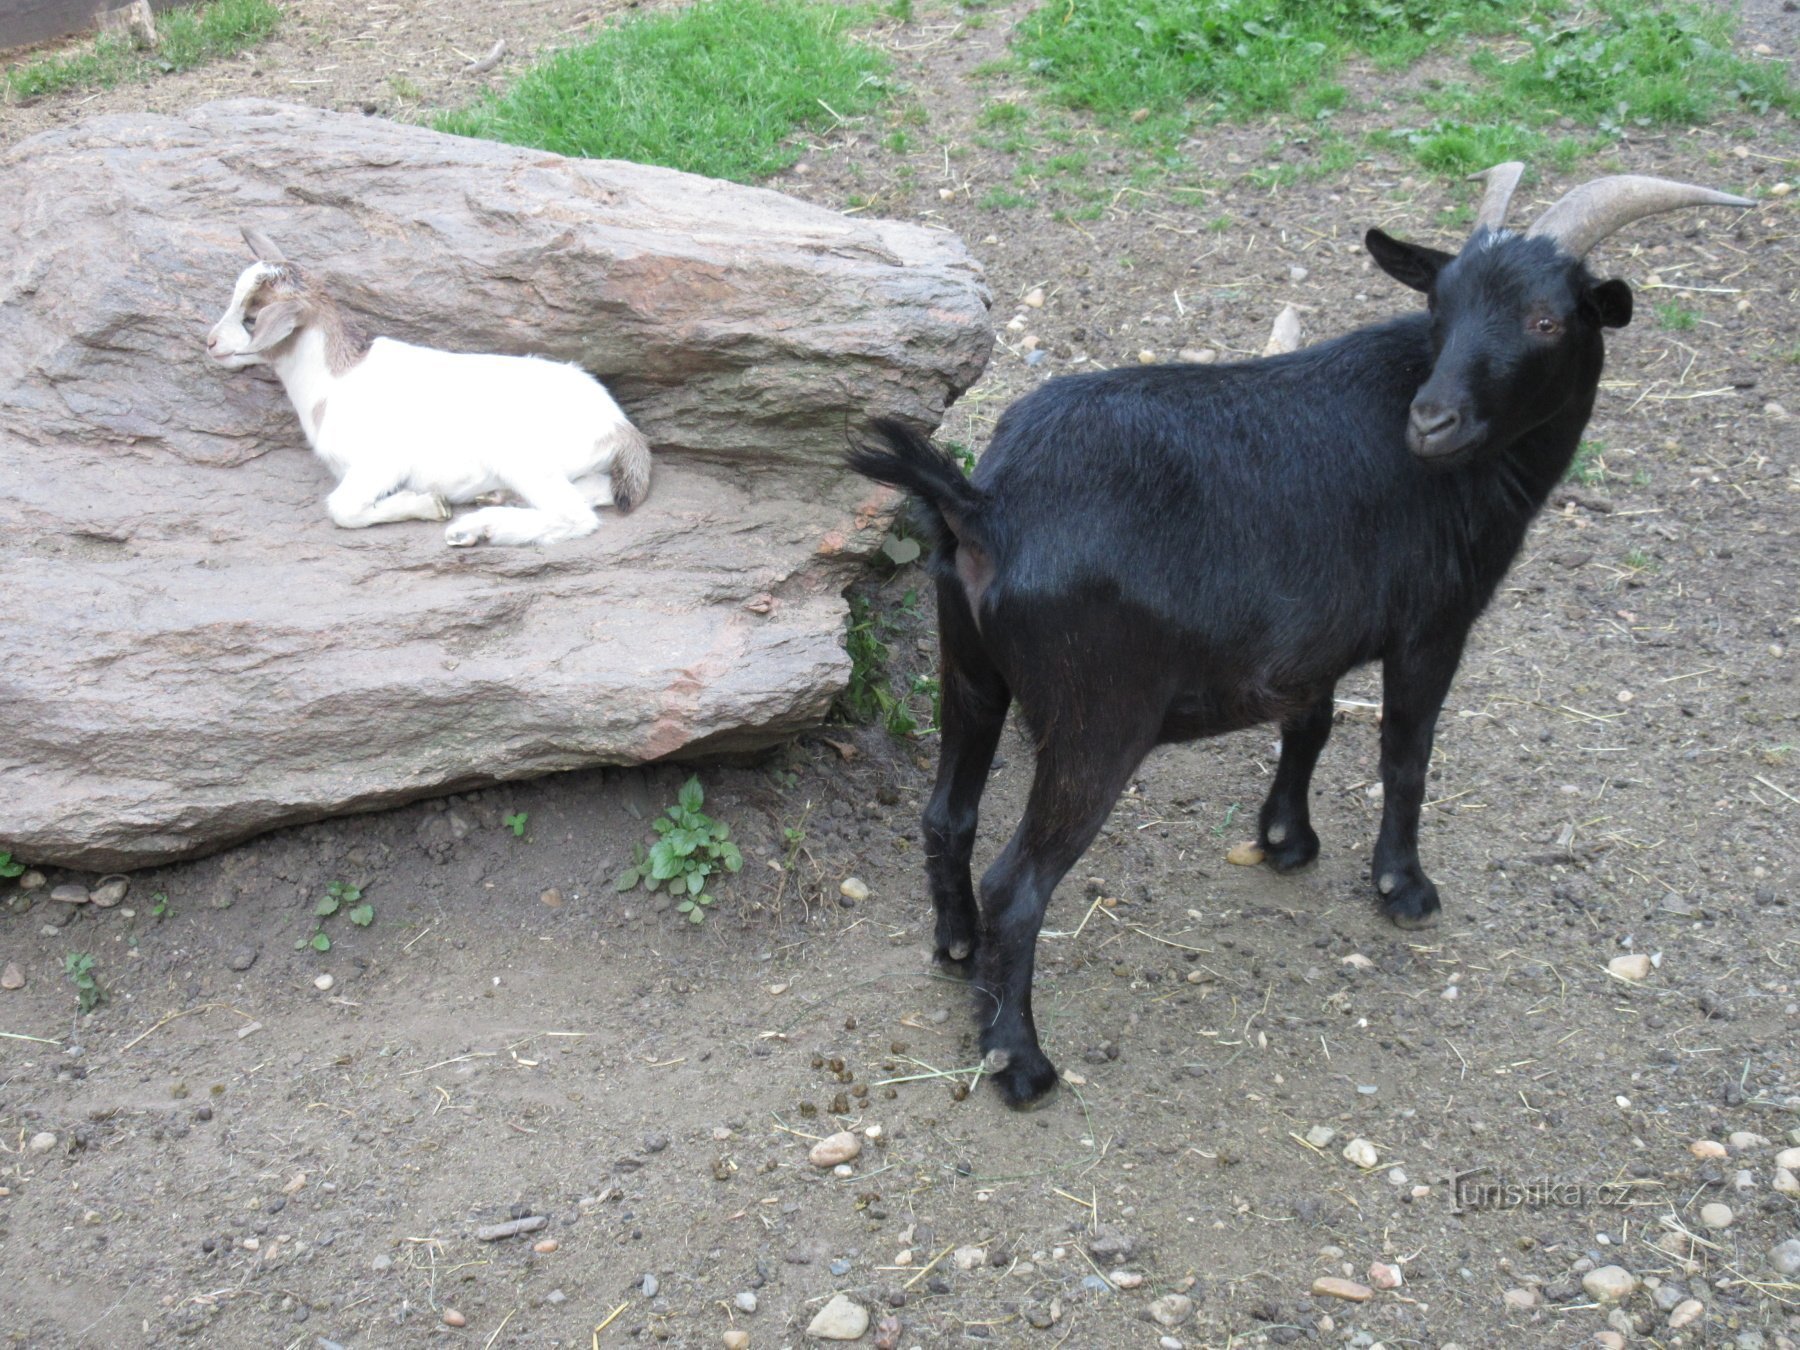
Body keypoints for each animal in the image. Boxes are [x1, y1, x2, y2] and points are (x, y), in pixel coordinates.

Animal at [207, 228, 651, 550]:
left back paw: (477, 528)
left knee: (575, 515)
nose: (210, 343)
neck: (334, 382)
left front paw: (425, 504)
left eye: (251, 319)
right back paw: (495, 502)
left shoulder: (382, 460)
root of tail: (620, 427)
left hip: (519, 451)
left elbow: (341, 508)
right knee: (599, 489)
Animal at [849, 166, 1749, 1108]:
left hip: (971, 670)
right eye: (1442, 308)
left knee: (948, 815)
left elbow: (1309, 721)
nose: (1431, 423)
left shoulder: (1309, 636)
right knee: (1018, 886)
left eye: (1546, 320)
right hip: (1098, 715)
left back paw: (958, 954)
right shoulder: (1433, 624)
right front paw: (1403, 887)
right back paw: (1018, 1061)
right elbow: (1405, 752)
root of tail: (985, 503)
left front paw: (1287, 839)